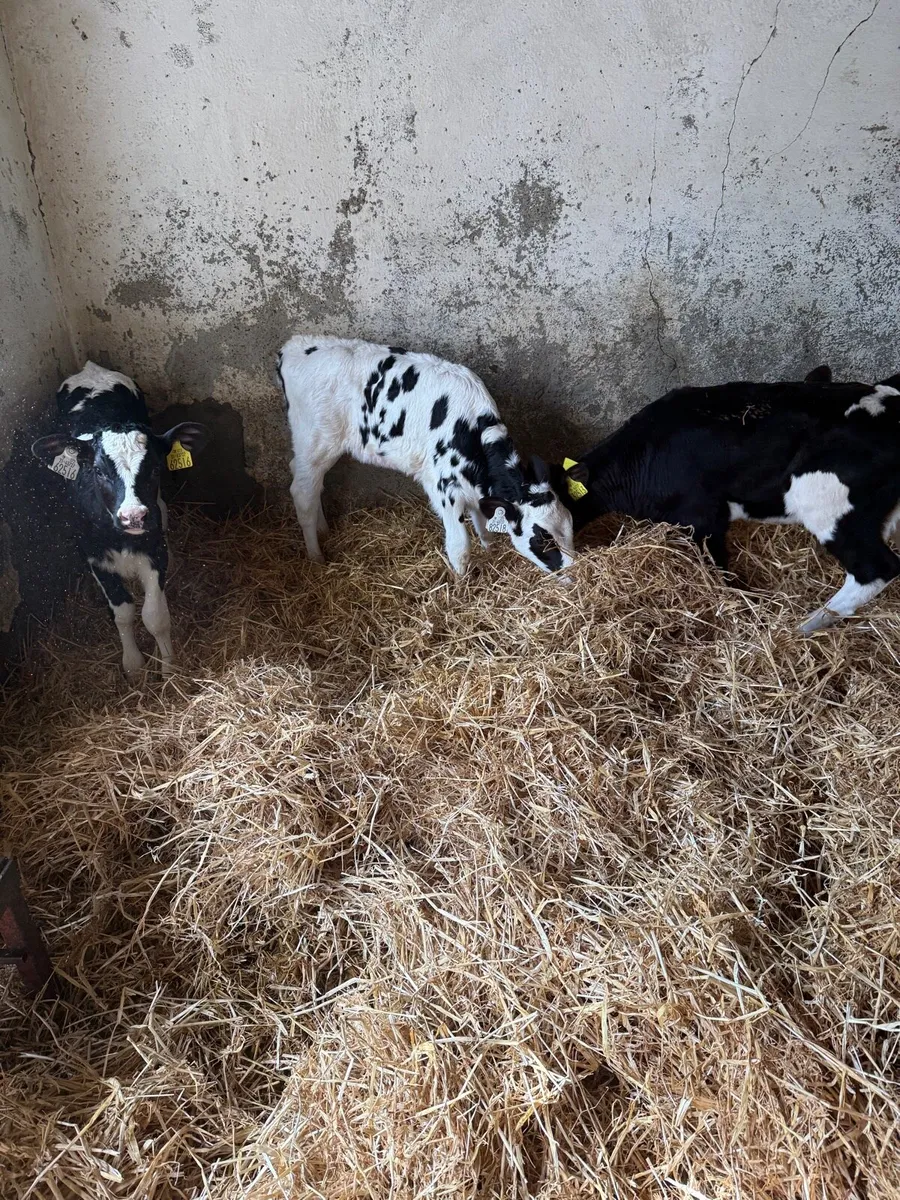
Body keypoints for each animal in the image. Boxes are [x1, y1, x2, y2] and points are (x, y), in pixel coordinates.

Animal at [31, 362, 208, 679]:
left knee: (163, 509)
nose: (133, 516)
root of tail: (92, 368)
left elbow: (154, 615)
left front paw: (169, 668)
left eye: (155, 468)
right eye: (98, 471)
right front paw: (134, 665)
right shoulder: (94, 556)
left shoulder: (153, 551)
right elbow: (123, 612)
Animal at [276, 335, 576, 574]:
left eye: (571, 527)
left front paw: (489, 548)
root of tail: (293, 347)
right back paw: (316, 556)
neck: (472, 431)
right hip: (315, 441)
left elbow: (482, 519)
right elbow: (459, 546)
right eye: (542, 538)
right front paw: (461, 584)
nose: (573, 572)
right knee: (302, 491)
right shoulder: (444, 487)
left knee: (306, 479)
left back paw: (323, 529)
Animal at [553, 367, 900, 633]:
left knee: (876, 568)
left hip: (828, 508)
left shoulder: (703, 519)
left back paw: (800, 627)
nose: (563, 573)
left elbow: (719, 570)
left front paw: (742, 602)